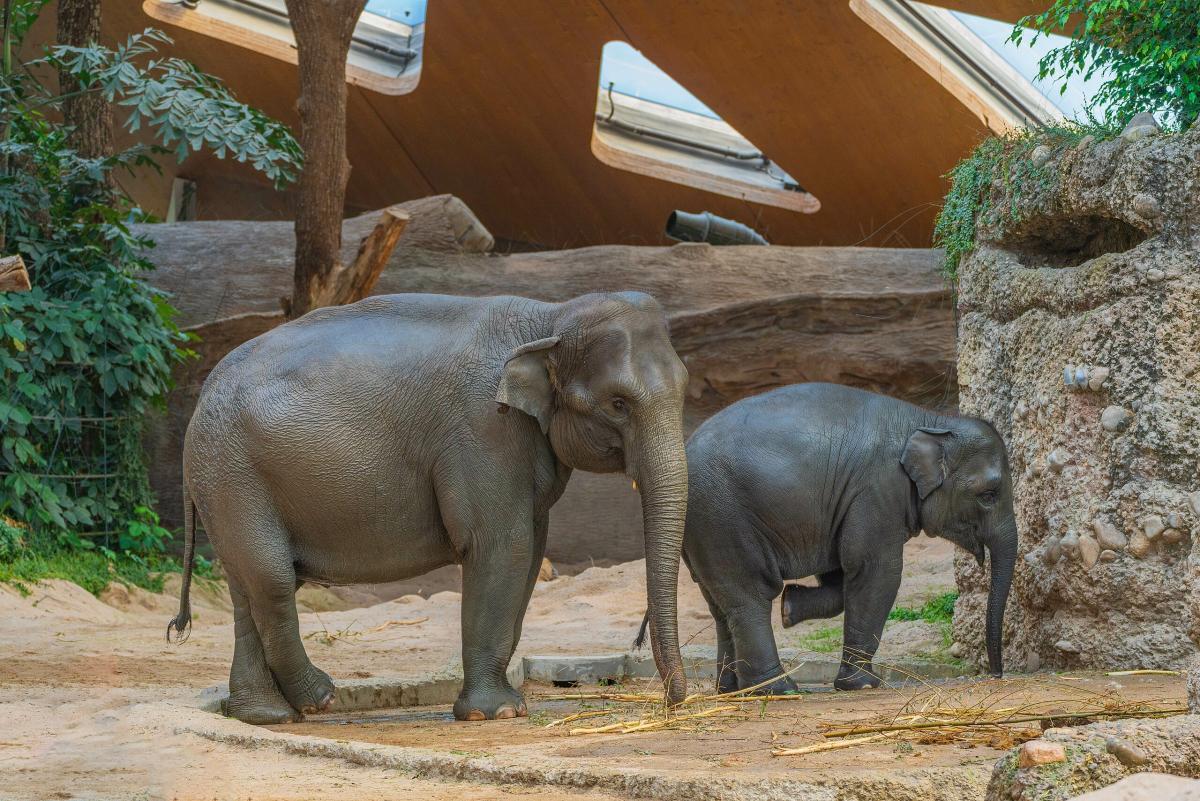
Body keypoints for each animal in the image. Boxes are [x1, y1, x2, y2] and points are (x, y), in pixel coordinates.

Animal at [172, 291, 691, 724]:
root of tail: (202, 396)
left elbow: (530, 551)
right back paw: (318, 699)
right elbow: (502, 546)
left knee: (248, 587)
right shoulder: (485, 430)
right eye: (618, 403)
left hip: (226, 479)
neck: (550, 316)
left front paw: (501, 707)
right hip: (233, 473)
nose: (671, 701)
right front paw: (496, 714)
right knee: (273, 579)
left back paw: (266, 716)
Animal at [681, 383, 1017, 690]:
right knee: (750, 596)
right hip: (722, 517)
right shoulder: (877, 491)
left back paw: (731, 689)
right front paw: (864, 684)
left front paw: (790, 607)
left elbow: (839, 575)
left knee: (719, 605)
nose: (996, 675)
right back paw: (778, 689)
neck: (930, 420)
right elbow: (875, 570)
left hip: (703, 529)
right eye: (988, 495)